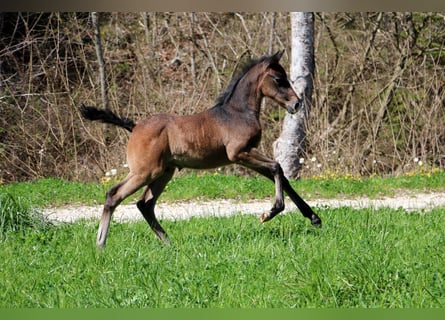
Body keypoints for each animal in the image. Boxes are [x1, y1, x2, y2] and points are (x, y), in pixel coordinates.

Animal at [80, 50, 320, 248]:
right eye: (279, 80)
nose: (296, 104)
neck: (238, 112)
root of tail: (135, 126)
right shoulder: (239, 153)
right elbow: (277, 167)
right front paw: (269, 213)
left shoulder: (247, 154)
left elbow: (281, 176)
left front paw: (313, 217)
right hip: (146, 171)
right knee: (114, 195)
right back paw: (100, 244)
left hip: (164, 172)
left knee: (145, 204)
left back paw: (169, 243)